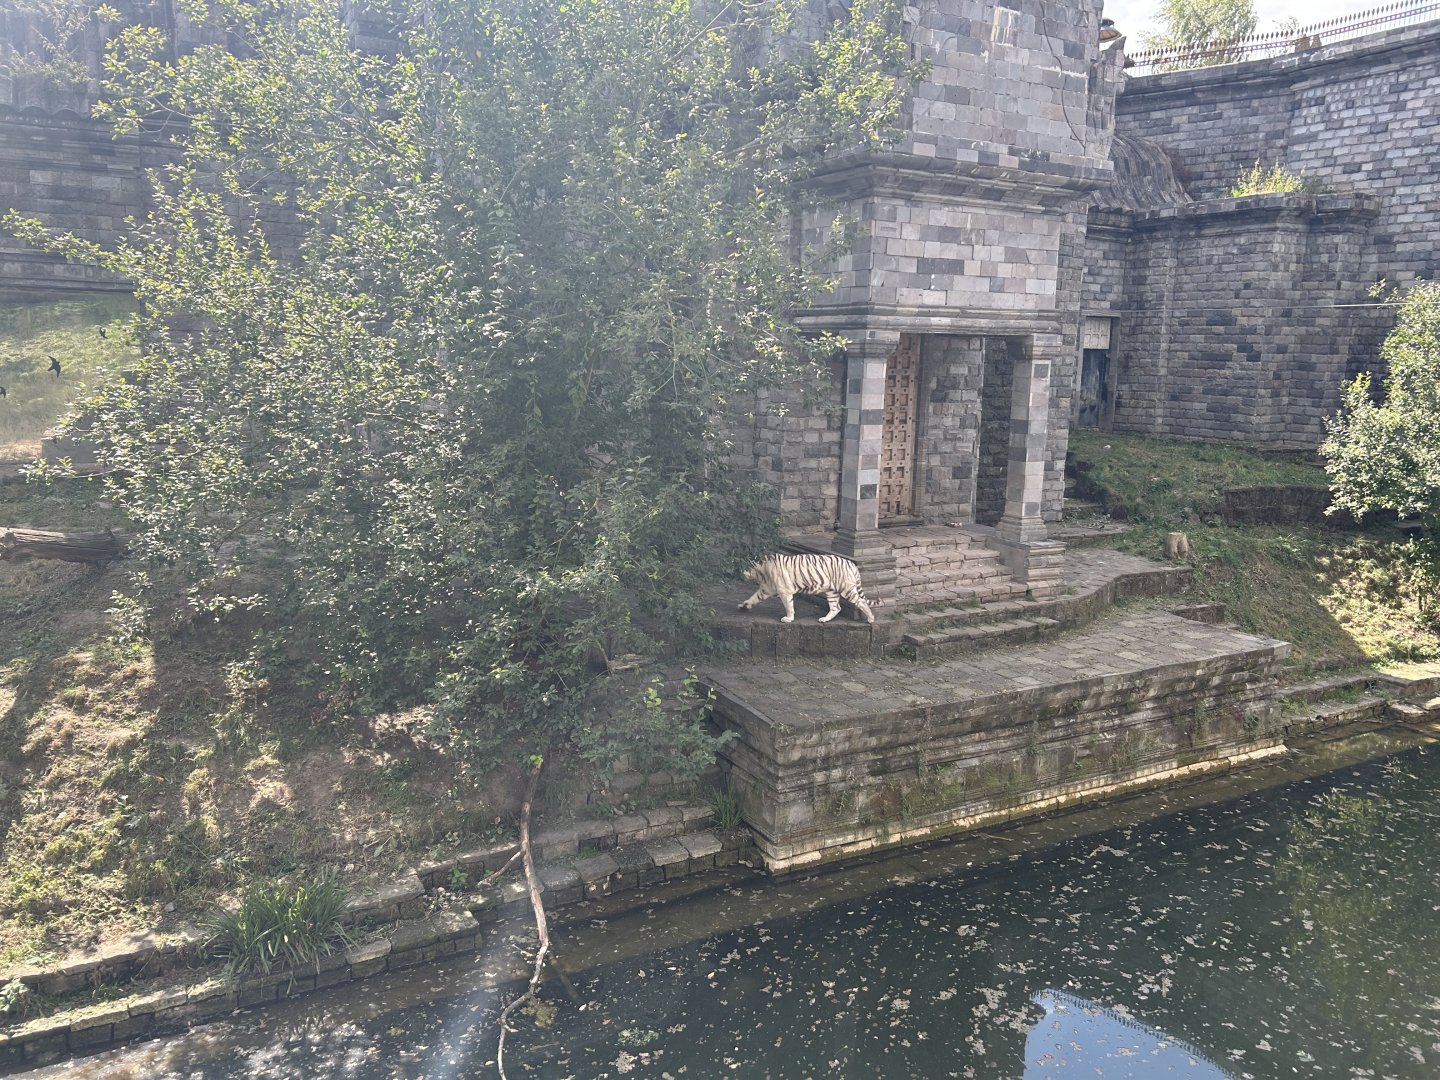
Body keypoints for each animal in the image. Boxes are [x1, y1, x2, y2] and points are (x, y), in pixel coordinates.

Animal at [738, 552, 880, 624]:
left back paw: (871, 619)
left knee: (861, 602)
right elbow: (754, 598)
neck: (761, 571)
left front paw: (789, 619)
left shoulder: (784, 591)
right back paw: (824, 619)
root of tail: (852, 564)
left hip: (846, 588)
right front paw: (744, 606)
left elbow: (789, 606)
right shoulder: (766, 588)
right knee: (836, 607)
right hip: (832, 592)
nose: (737, 574)